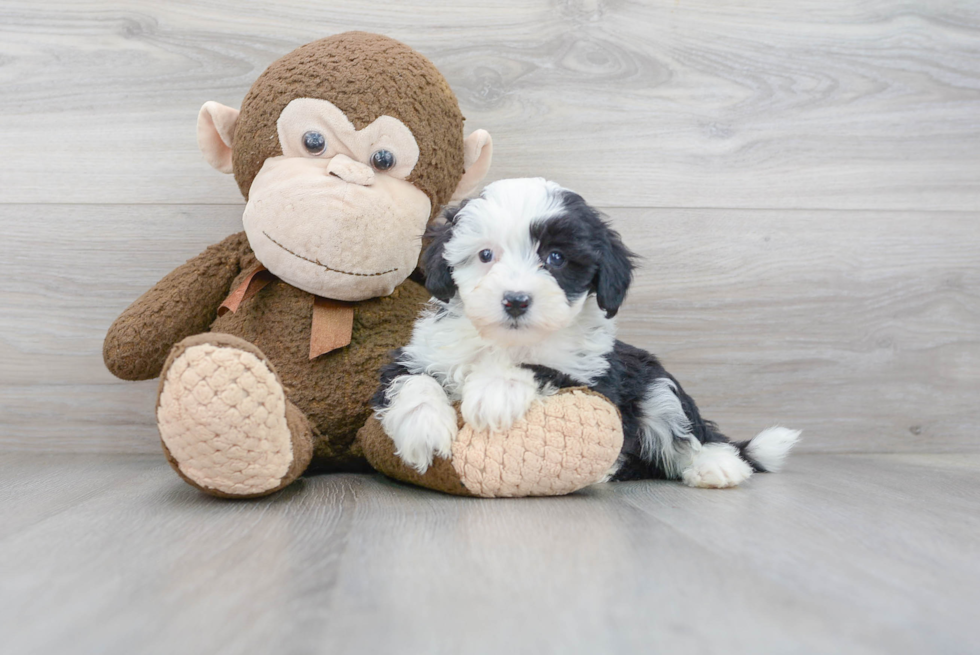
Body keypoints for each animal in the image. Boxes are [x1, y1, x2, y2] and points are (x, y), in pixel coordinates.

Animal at [372, 179, 800, 486]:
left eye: (556, 258)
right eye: (485, 255)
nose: (515, 300)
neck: (509, 341)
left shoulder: (594, 381)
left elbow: (541, 368)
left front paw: (496, 390)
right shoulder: (417, 354)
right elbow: (412, 381)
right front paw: (424, 429)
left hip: (655, 384)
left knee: (688, 431)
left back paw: (717, 465)